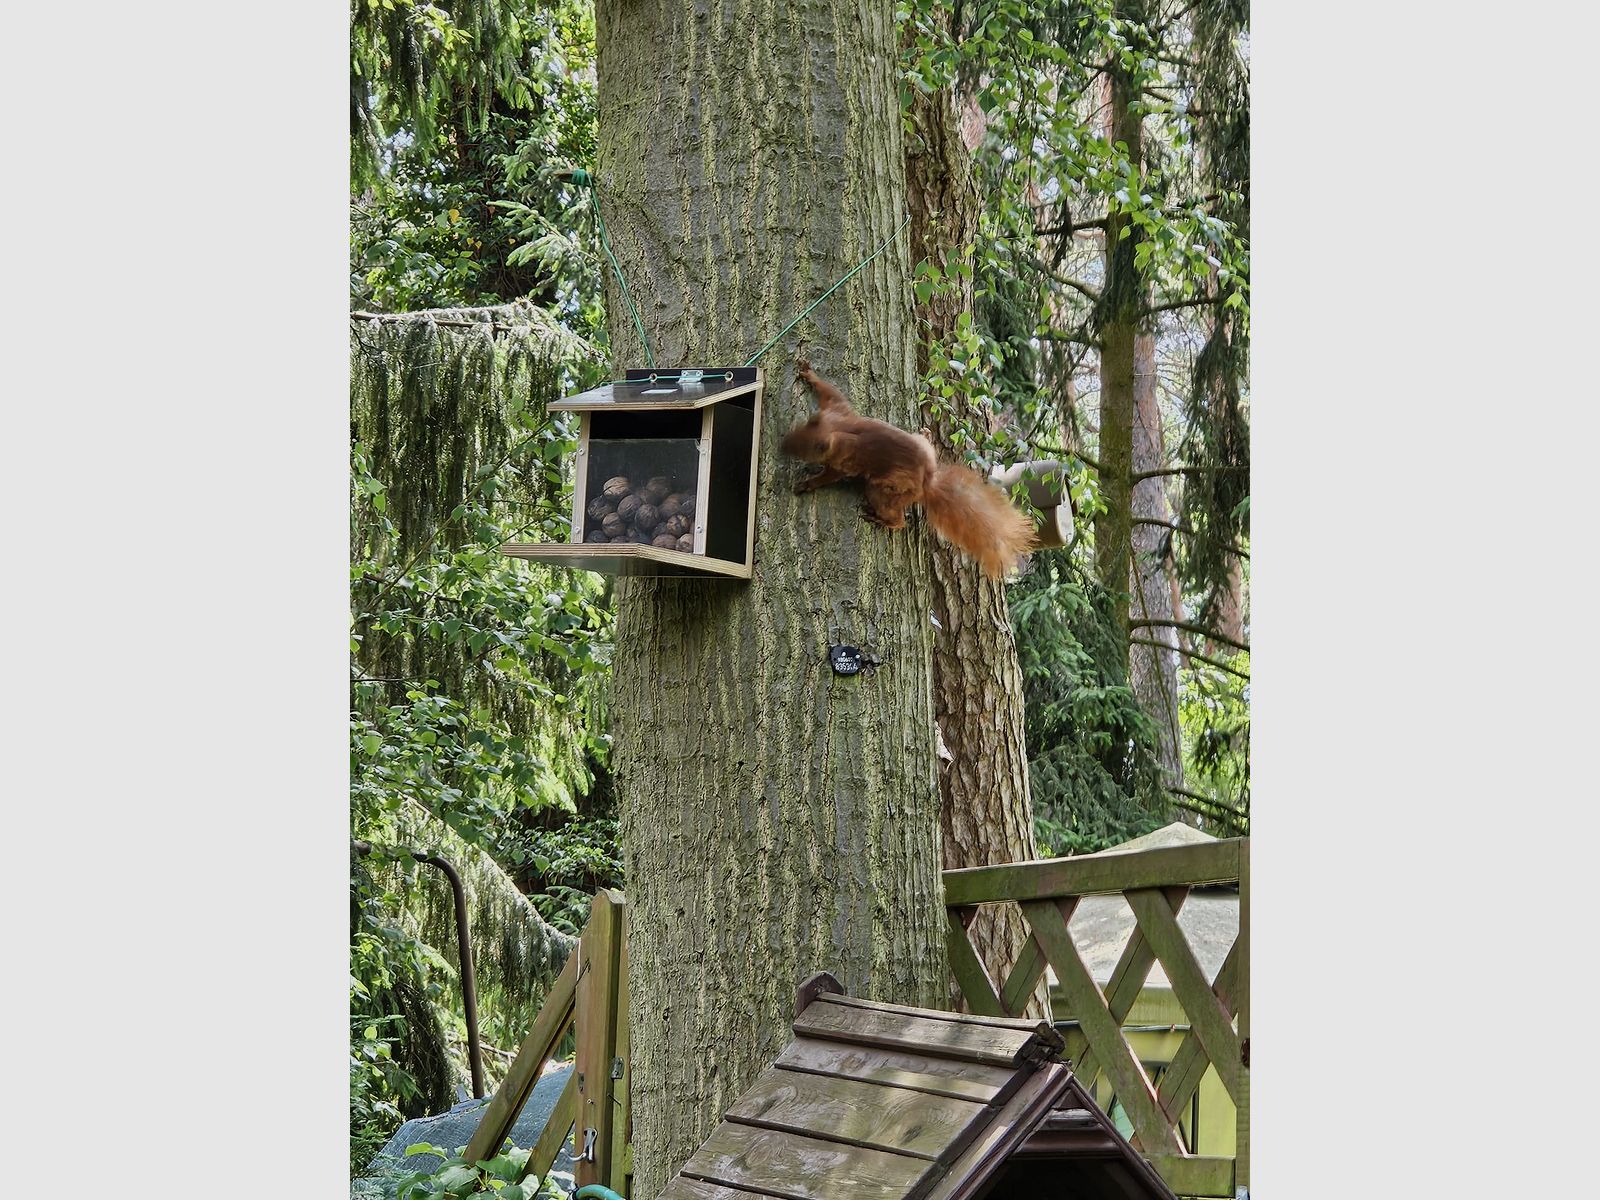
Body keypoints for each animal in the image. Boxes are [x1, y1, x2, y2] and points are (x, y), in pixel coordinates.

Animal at [781, 360, 1037, 578]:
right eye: (798, 429)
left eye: (805, 449)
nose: (781, 445)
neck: (838, 427)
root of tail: (927, 482)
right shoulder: (837, 409)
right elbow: (831, 391)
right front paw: (808, 372)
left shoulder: (844, 458)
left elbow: (830, 475)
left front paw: (806, 484)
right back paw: (926, 432)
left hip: (884, 488)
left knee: (898, 520)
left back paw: (882, 520)